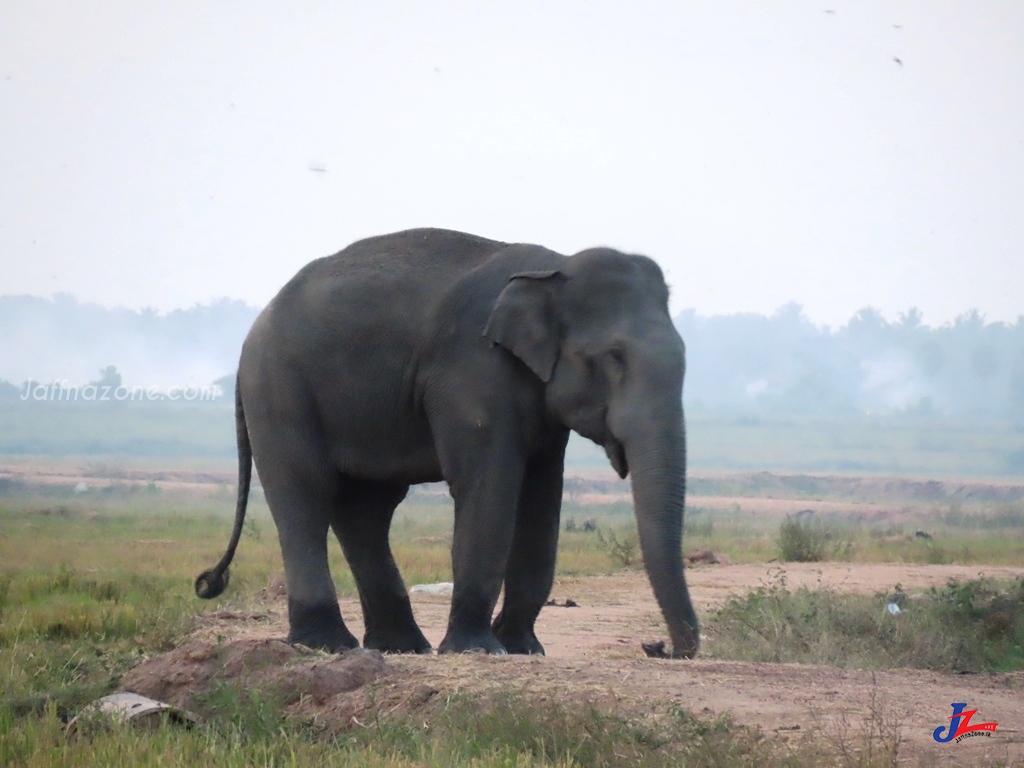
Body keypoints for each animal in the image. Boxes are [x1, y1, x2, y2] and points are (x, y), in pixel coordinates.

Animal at [195, 228, 700, 663]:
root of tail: (253, 330)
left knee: (365, 509)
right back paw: (328, 645)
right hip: (280, 389)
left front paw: (523, 649)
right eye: (614, 357)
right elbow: (488, 484)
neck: (554, 267)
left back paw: (400, 646)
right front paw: (480, 650)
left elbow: (541, 498)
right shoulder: (472, 370)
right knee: (306, 493)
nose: (658, 647)